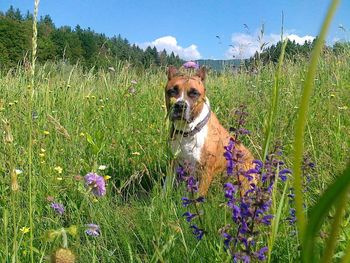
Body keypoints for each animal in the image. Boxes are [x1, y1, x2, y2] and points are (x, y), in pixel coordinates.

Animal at [165, 66, 256, 197]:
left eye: (194, 93)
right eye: (172, 91)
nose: (180, 105)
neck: (188, 131)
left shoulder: (205, 171)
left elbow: (199, 195)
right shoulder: (173, 162)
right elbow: (165, 187)